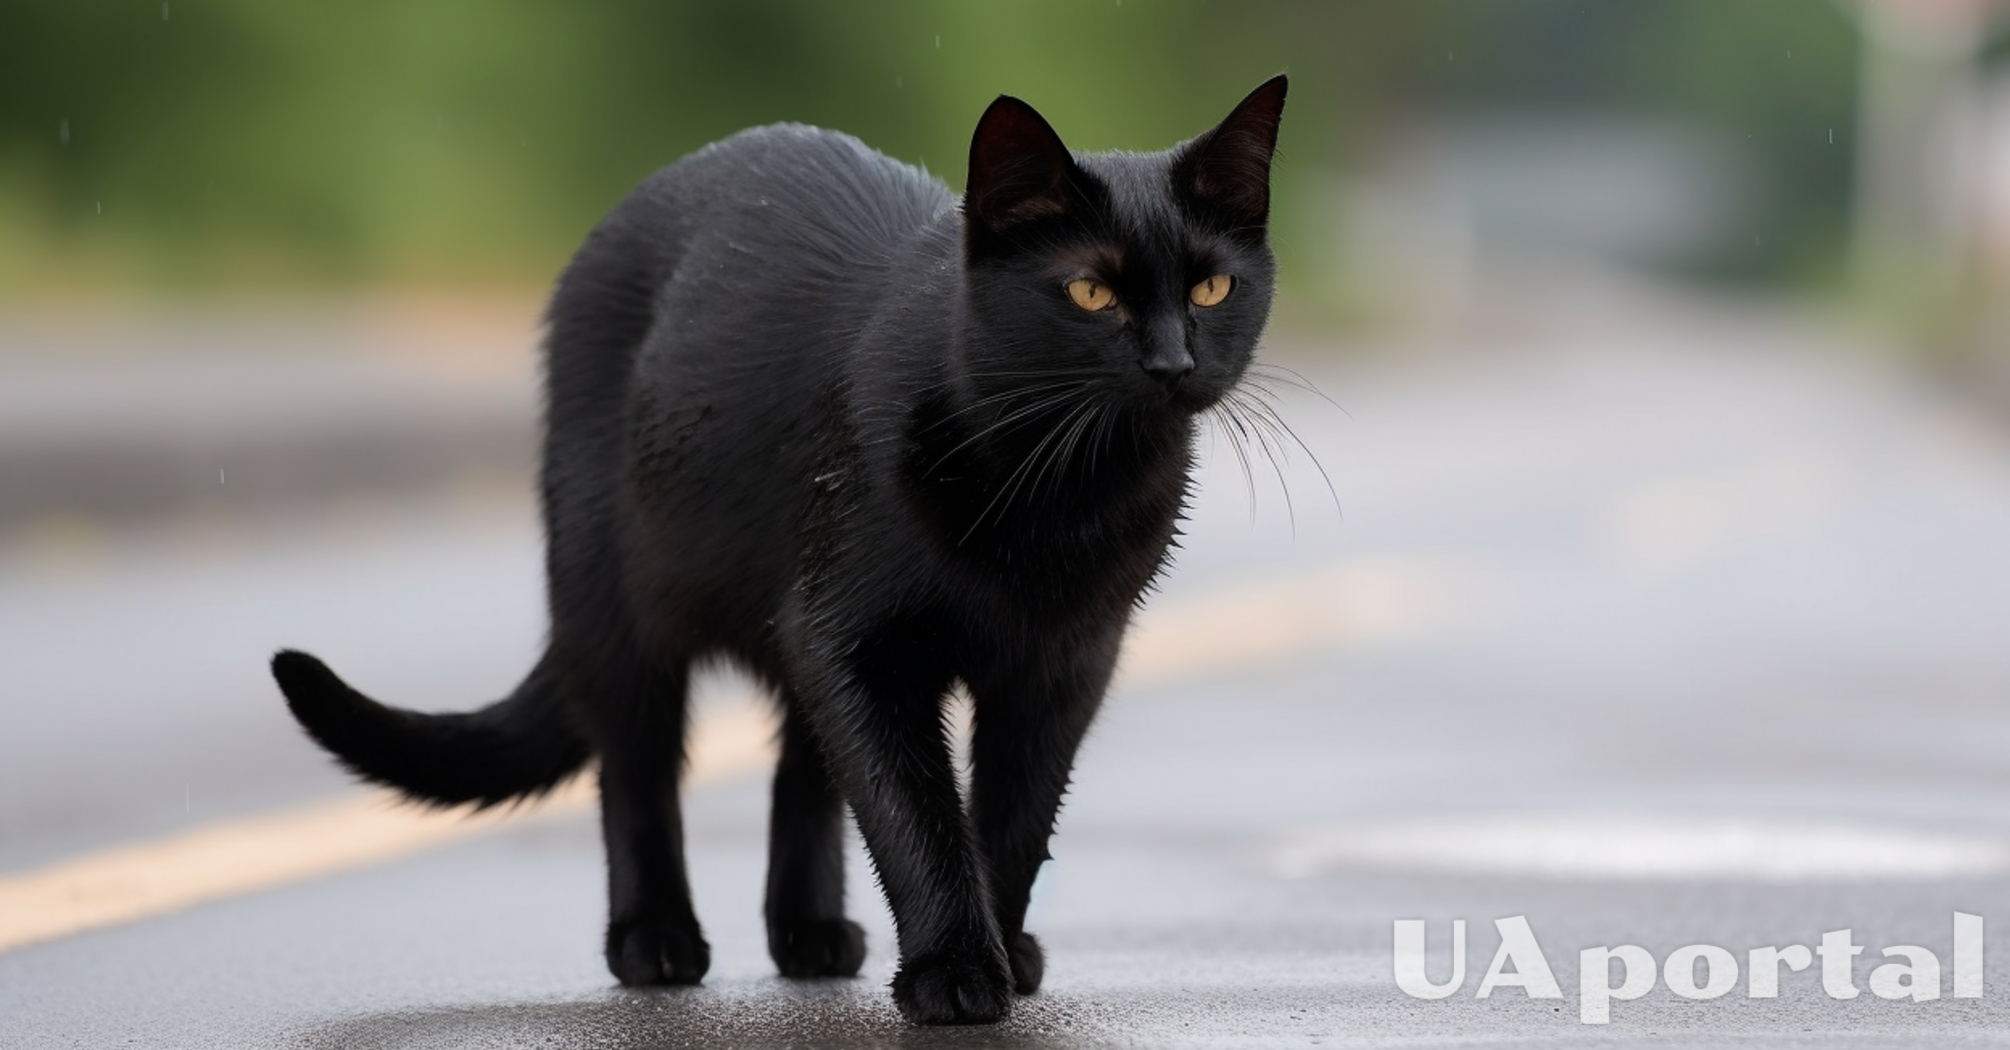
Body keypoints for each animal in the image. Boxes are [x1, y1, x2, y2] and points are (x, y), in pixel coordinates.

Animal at [275, 73, 1286, 1021]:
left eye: (1211, 287)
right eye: (1090, 291)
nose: (1172, 363)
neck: (1059, 489)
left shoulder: (1065, 659)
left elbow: (1015, 815)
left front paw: (999, 950)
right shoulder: (857, 638)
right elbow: (914, 810)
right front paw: (956, 972)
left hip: (790, 609)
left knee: (801, 766)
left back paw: (808, 933)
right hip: (620, 604)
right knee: (637, 769)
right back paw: (655, 941)